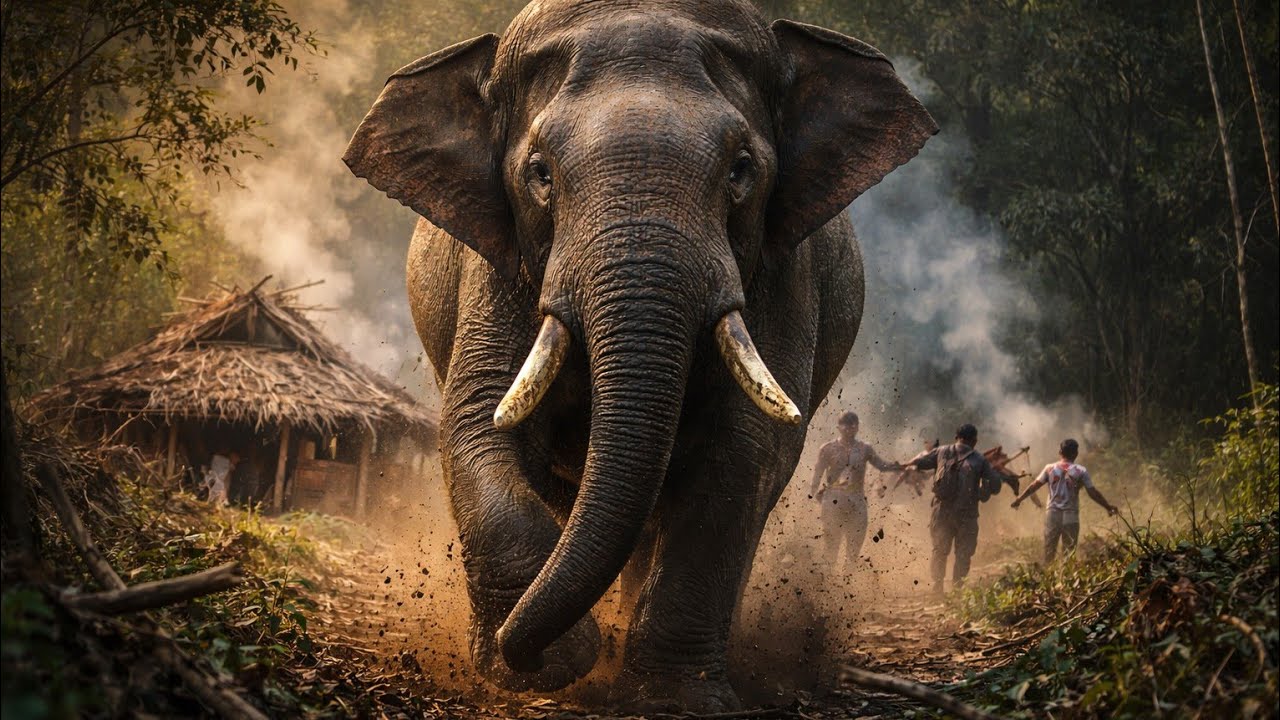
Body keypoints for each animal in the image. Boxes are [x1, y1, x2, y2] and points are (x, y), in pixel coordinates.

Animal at [343, 0, 935, 711]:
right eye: (539, 174)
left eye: (741, 169)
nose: (524, 649)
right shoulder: (493, 266)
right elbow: (481, 422)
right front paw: (549, 667)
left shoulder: (786, 271)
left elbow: (743, 449)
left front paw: (668, 698)